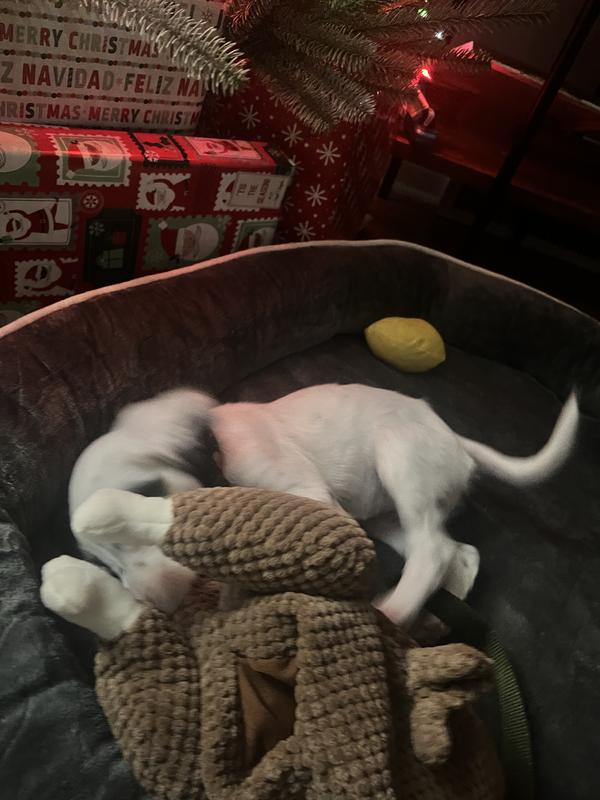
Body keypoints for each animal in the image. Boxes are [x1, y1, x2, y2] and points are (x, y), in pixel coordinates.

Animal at [69, 384, 579, 624]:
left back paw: (393, 612)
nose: (156, 605)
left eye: (141, 503)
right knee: (454, 550)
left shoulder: (310, 496)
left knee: (432, 553)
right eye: (105, 566)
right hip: (385, 516)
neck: (217, 447)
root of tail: (454, 439)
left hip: (399, 460)